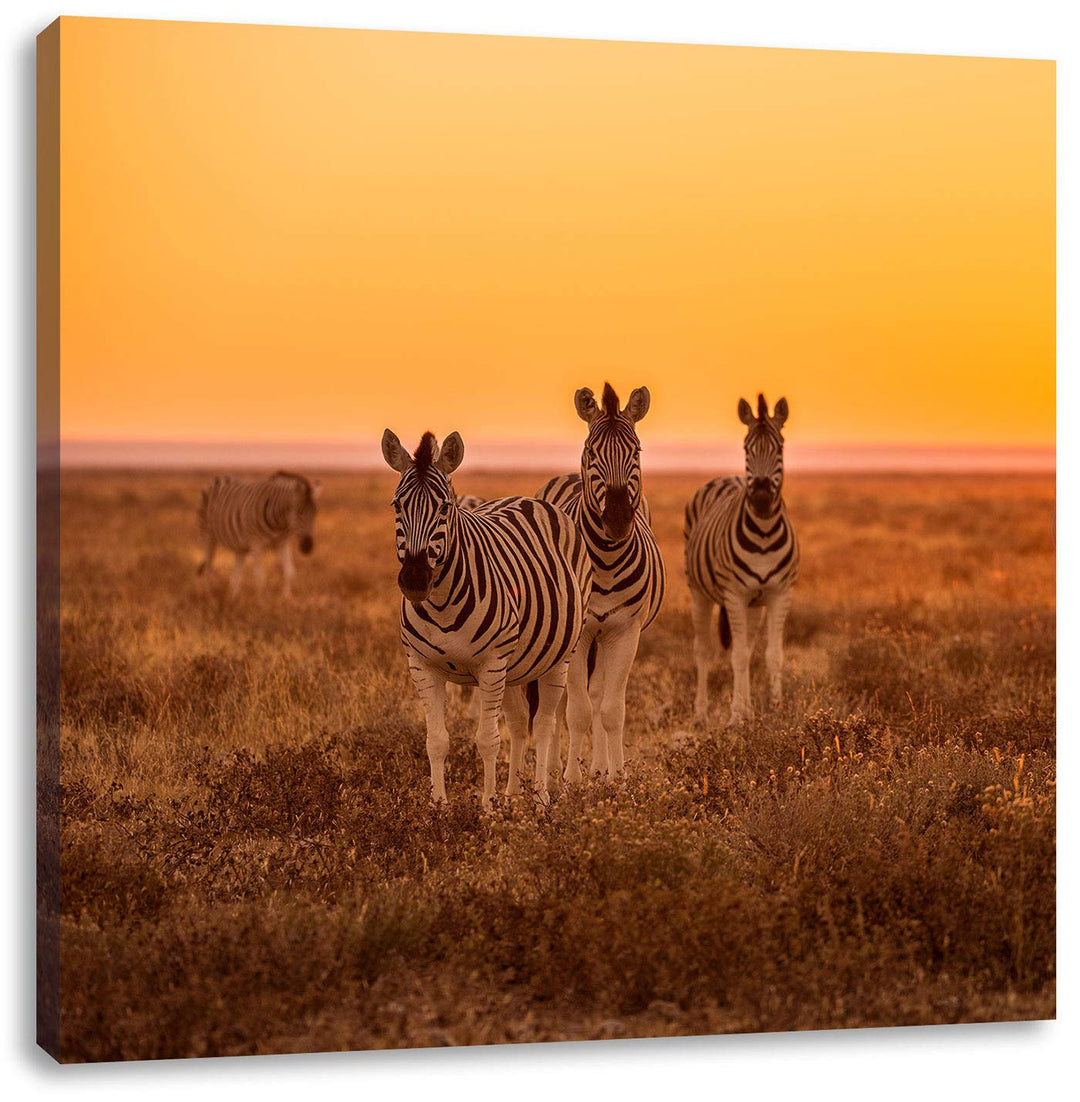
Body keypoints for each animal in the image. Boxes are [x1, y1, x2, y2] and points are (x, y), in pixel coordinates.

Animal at [382, 429, 592, 805]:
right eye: (397, 505)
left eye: (445, 507)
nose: (415, 580)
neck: (441, 603)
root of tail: (527, 499)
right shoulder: (422, 666)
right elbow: (436, 741)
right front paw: (438, 807)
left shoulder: (490, 665)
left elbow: (487, 740)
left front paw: (487, 809)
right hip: (514, 665)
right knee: (521, 721)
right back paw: (512, 796)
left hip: (558, 657)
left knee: (544, 724)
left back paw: (540, 798)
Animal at [536, 383, 665, 781]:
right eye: (592, 452)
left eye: (636, 451)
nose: (619, 519)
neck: (606, 561)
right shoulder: (579, 635)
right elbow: (576, 710)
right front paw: (570, 780)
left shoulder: (625, 631)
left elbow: (610, 710)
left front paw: (615, 776)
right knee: (563, 700)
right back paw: (555, 768)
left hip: (604, 636)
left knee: (597, 695)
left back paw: (598, 767)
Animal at [684, 393, 799, 725]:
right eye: (747, 448)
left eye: (780, 447)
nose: (760, 499)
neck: (763, 533)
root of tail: (726, 476)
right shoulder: (734, 594)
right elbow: (735, 656)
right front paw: (736, 716)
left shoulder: (779, 593)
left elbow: (772, 654)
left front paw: (775, 708)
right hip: (699, 592)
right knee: (704, 650)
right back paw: (701, 714)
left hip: (753, 604)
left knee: (747, 649)